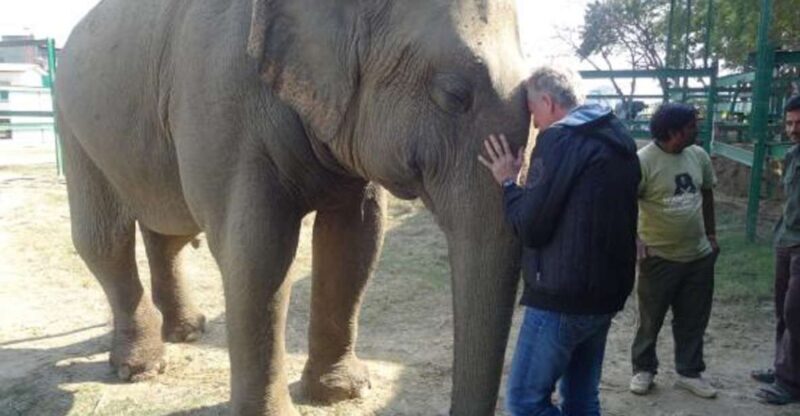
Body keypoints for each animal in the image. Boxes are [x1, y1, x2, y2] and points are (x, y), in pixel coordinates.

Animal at [55, 0, 530, 414]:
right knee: (103, 239)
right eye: (453, 95)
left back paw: (188, 331)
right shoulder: (220, 102)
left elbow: (356, 240)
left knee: (167, 232)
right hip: (74, 127)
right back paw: (139, 368)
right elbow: (257, 254)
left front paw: (342, 392)